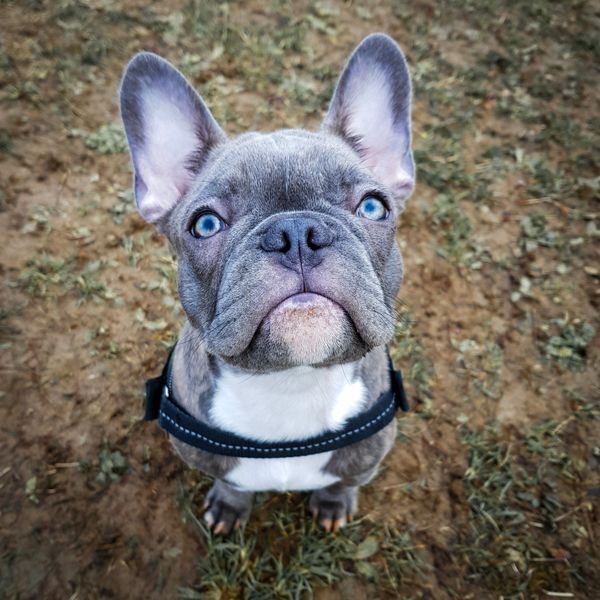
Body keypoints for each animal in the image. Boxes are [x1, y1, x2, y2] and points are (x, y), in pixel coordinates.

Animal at [119, 32, 414, 532]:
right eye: (205, 224)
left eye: (373, 207)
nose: (295, 232)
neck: (291, 381)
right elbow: (233, 483)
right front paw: (229, 507)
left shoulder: (367, 457)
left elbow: (343, 481)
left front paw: (333, 505)